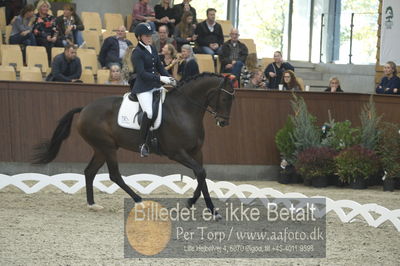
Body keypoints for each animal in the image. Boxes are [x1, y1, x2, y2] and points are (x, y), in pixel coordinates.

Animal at [34, 72, 236, 216]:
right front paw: (209, 209)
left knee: (90, 172)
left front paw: (196, 204)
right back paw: (140, 201)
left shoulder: (196, 152)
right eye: (225, 98)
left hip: (101, 148)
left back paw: (93, 205)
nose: (223, 122)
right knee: (114, 175)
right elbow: (200, 173)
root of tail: (84, 109)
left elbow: (201, 175)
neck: (183, 110)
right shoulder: (177, 153)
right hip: (107, 147)